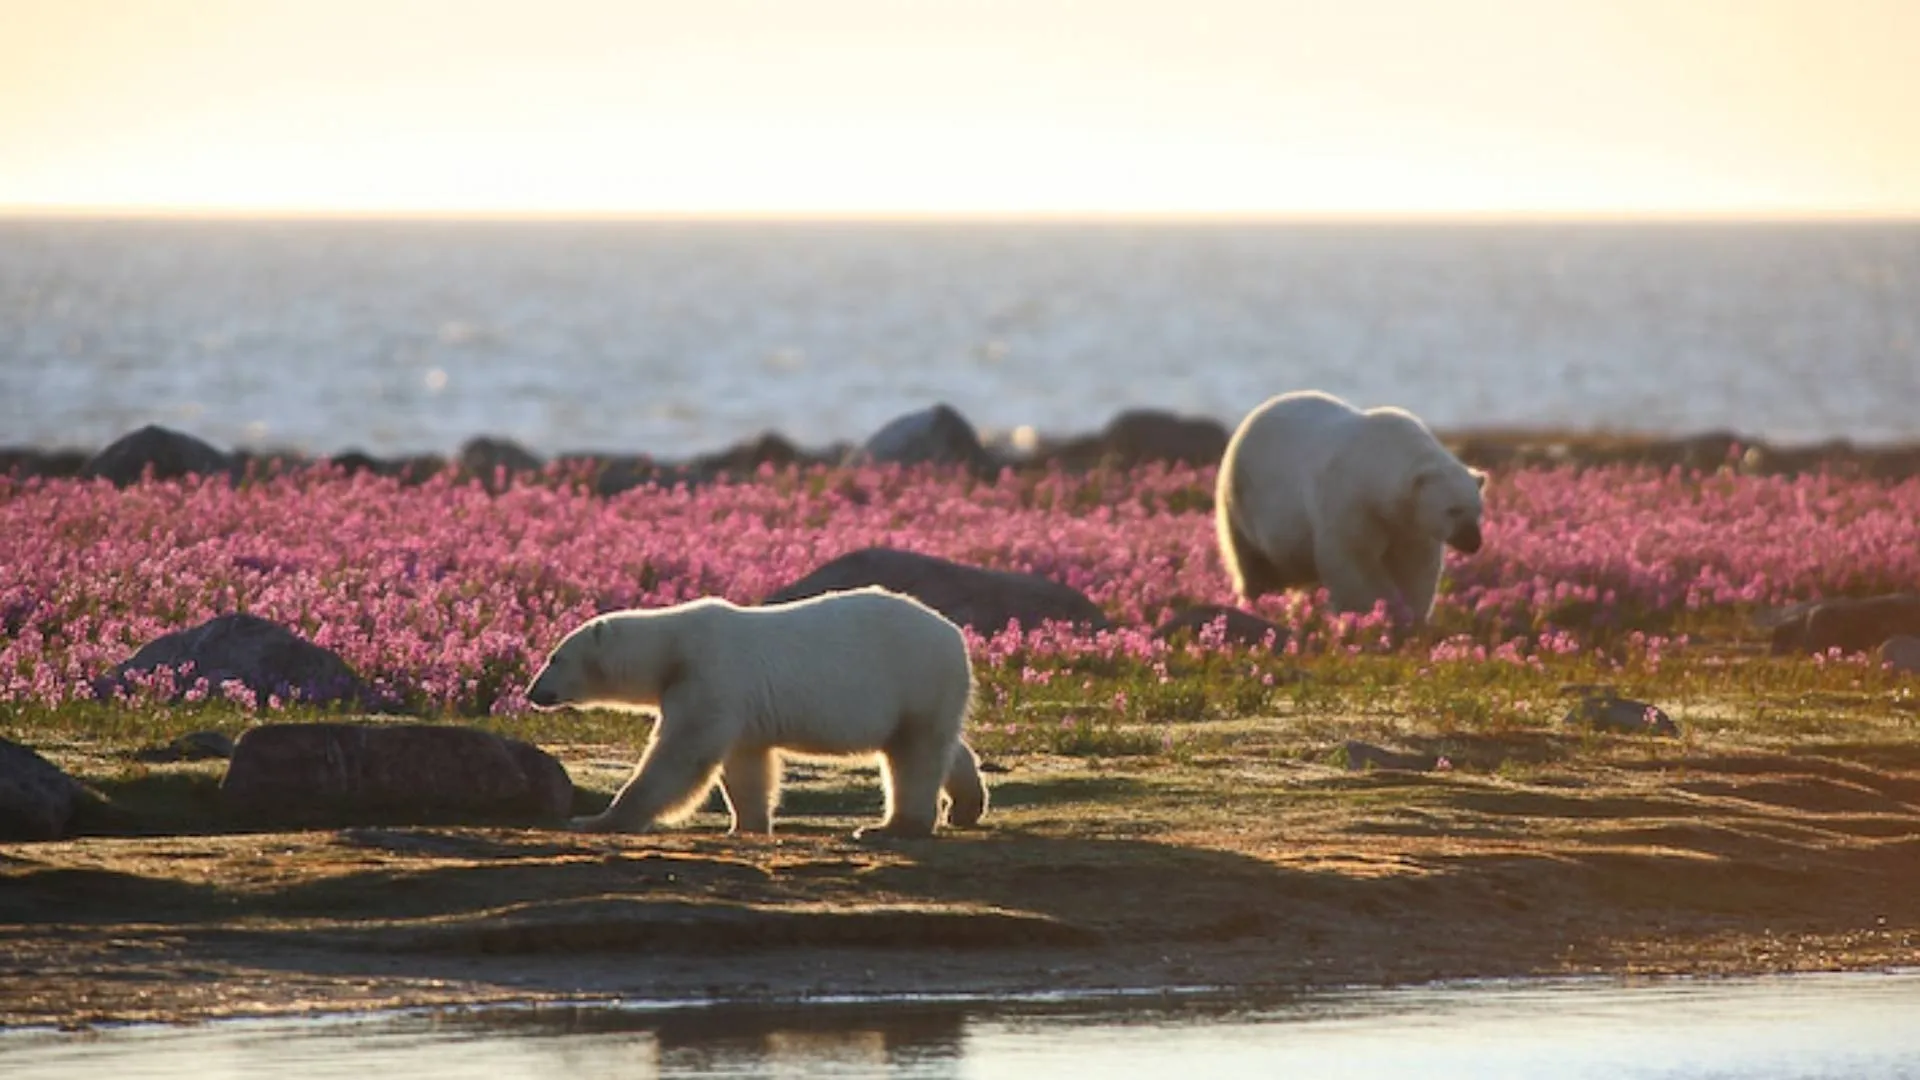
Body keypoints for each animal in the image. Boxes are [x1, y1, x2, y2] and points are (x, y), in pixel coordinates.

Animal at [524, 586, 987, 840]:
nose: (532, 692)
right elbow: (747, 764)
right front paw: (746, 824)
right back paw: (966, 805)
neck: (672, 648)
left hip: (915, 676)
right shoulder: (739, 708)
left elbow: (681, 756)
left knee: (914, 754)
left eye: (554, 657)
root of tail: (955, 635)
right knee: (942, 745)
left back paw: (891, 826)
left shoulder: (708, 676)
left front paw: (597, 819)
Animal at [1214, 389, 1486, 623]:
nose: (1473, 542)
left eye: (1478, 510)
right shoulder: (1352, 503)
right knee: (1254, 565)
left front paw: (1411, 617)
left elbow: (1415, 567)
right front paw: (1375, 613)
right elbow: (1353, 562)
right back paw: (1258, 604)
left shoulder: (1409, 526)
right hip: (1242, 504)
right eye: (1453, 509)